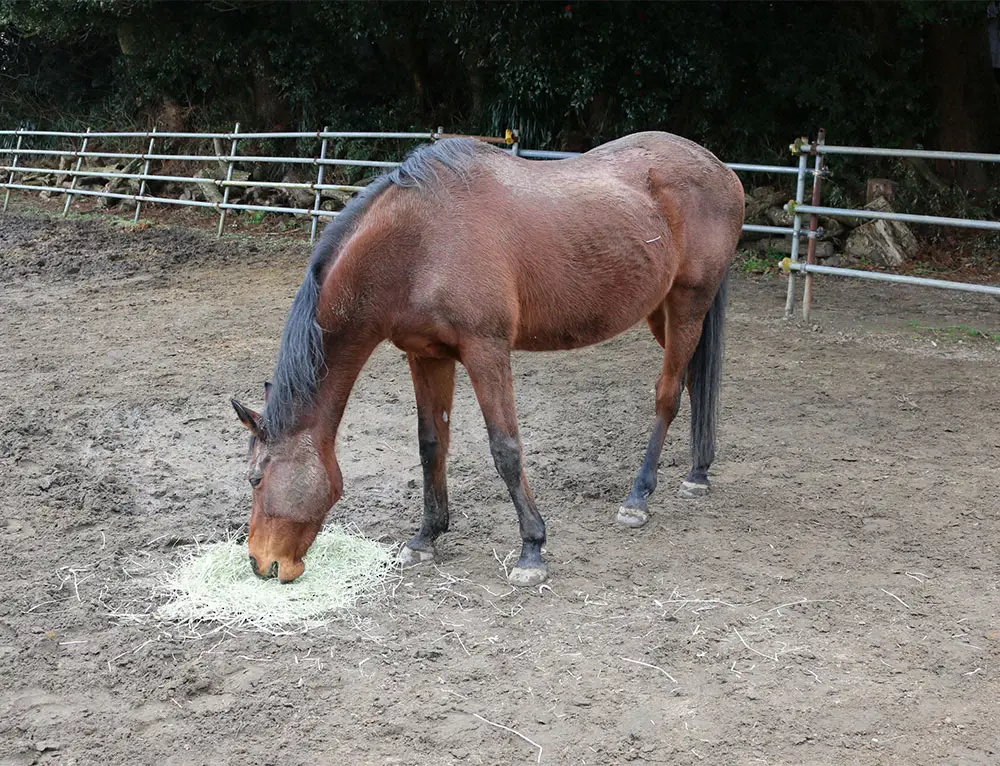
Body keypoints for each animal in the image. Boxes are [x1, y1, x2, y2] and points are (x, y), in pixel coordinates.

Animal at [231, 131, 745, 587]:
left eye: (256, 479)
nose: (261, 563)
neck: (418, 241)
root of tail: (723, 171)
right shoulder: (426, 356)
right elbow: (431, 445)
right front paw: (426, 537)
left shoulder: (486, 350)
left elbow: (505, 448)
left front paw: (532, 549)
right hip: (665, 312)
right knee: (694, 382)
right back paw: (698, 472)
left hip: (688, 304)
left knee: (668, 395)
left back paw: (639, 497)